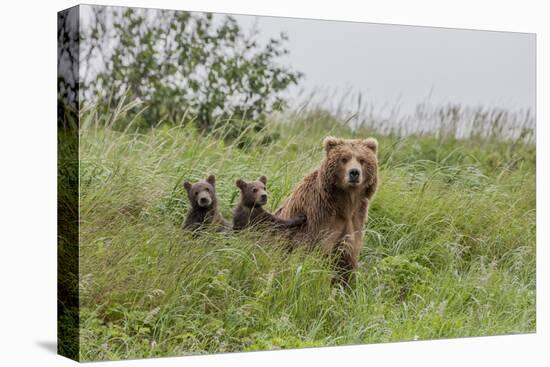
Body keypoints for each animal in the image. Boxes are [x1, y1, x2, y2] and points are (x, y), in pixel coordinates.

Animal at [276, 137, 380, 278]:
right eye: (344, 159)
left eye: (362, 159)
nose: (354, 172)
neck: (346, 203)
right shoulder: (320, 218)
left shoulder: (356, 219)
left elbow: (347, 263)